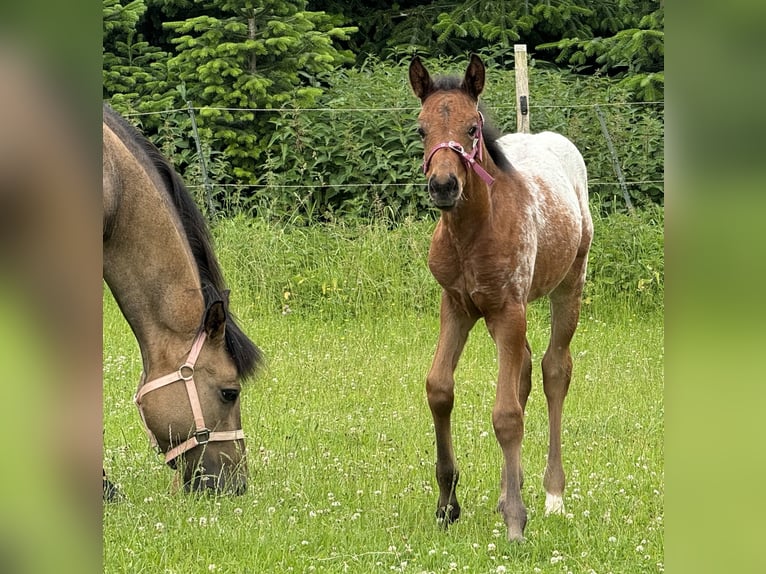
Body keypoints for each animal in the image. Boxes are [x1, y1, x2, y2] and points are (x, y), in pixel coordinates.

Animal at [408, 55, 592, 544]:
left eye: (473, 127)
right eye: (420, 128)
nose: (444, 186)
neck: (474, 232)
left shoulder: (508, 309)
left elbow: (507, 414)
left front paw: (516, 519)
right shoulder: (457, 306)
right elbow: (439, 389)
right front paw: (448, 504)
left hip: (568, 286)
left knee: (553, 369)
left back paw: (552, 495)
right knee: (526, 367)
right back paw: (515, 485)